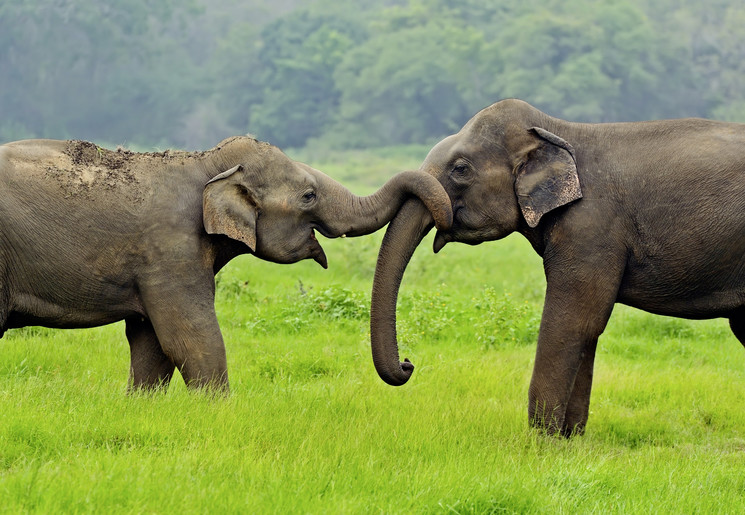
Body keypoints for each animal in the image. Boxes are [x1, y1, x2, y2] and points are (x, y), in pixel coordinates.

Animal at [0, 135, 454, 394]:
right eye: (308, 196)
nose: (409, 364)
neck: (207, 162)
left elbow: (151, 343)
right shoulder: (170, 249)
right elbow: (190, 339)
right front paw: (217, 412)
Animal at [370, 99, 744, 438]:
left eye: (461, 169)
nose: (408, 364)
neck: (557, 130)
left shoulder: (591, 227)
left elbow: (575, 320)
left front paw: (541, 442)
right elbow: (587, 329)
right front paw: (570, 440)